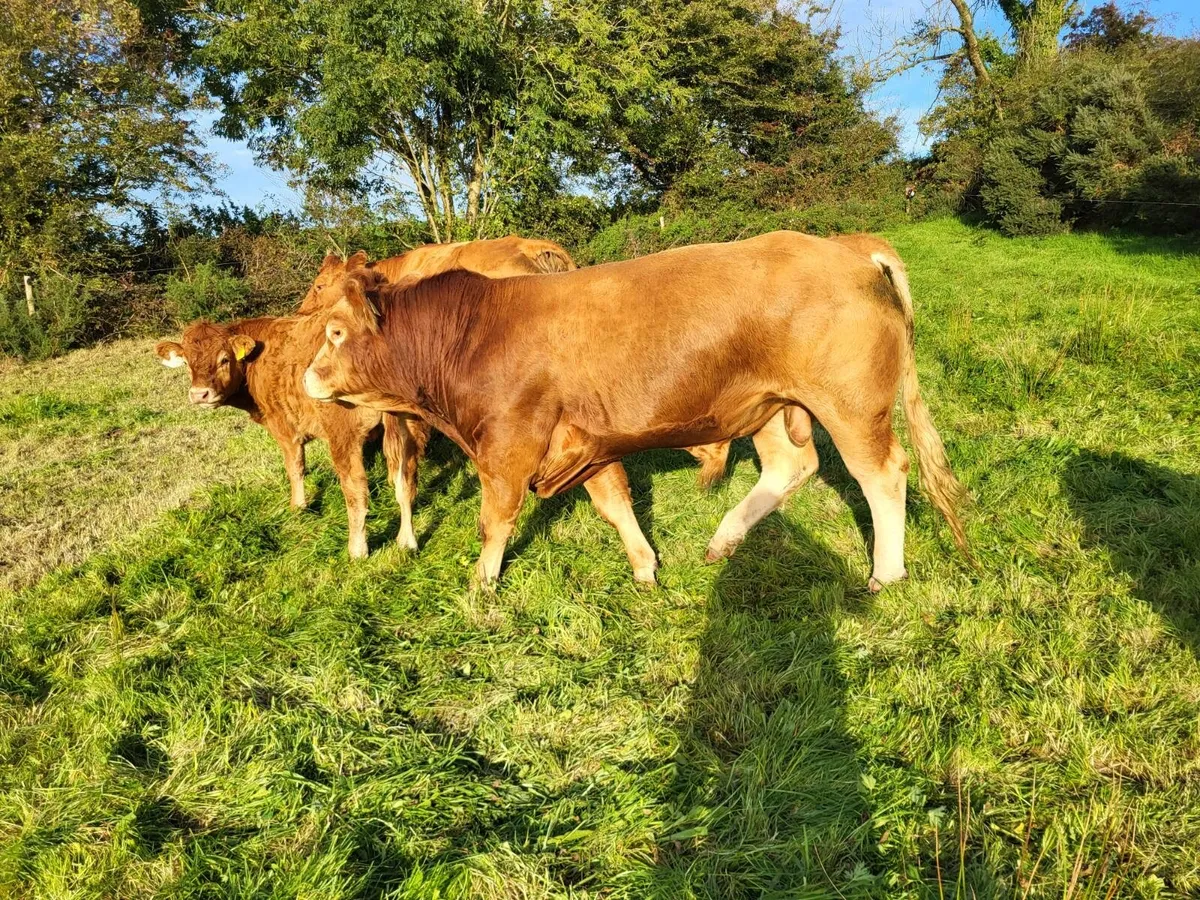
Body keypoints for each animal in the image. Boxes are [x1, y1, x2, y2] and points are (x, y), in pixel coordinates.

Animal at [301, 231, 968, 591]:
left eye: (334, 332)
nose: (307, 376)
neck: (473, 330)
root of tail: (844, 244)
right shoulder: (586, 441)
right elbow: (615, 503)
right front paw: (646, 566)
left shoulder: (509, 443)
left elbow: (496, 518)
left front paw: (480, 584)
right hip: (772, 405)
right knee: (791, 466)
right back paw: (723, 540)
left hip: (850, 405)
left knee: (882, 474)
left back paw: (886, 572)